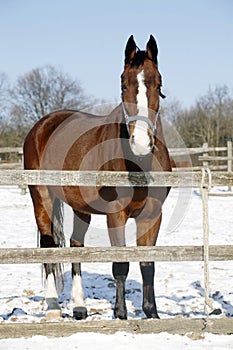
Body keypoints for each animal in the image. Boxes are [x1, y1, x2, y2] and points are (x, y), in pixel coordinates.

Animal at [24, 34, 171, 320]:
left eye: (158, 83)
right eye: (123, 84)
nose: (140, 143)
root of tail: (42, 125)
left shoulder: (152, 215)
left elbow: (148, 263)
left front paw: (152, 314)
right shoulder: (116, 214)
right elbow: (120, 265)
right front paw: (121, 315)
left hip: (80, 206)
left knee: (75, 244)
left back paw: (79, 306)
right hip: (41, 197)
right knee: (48, 245)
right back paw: (52, 307)